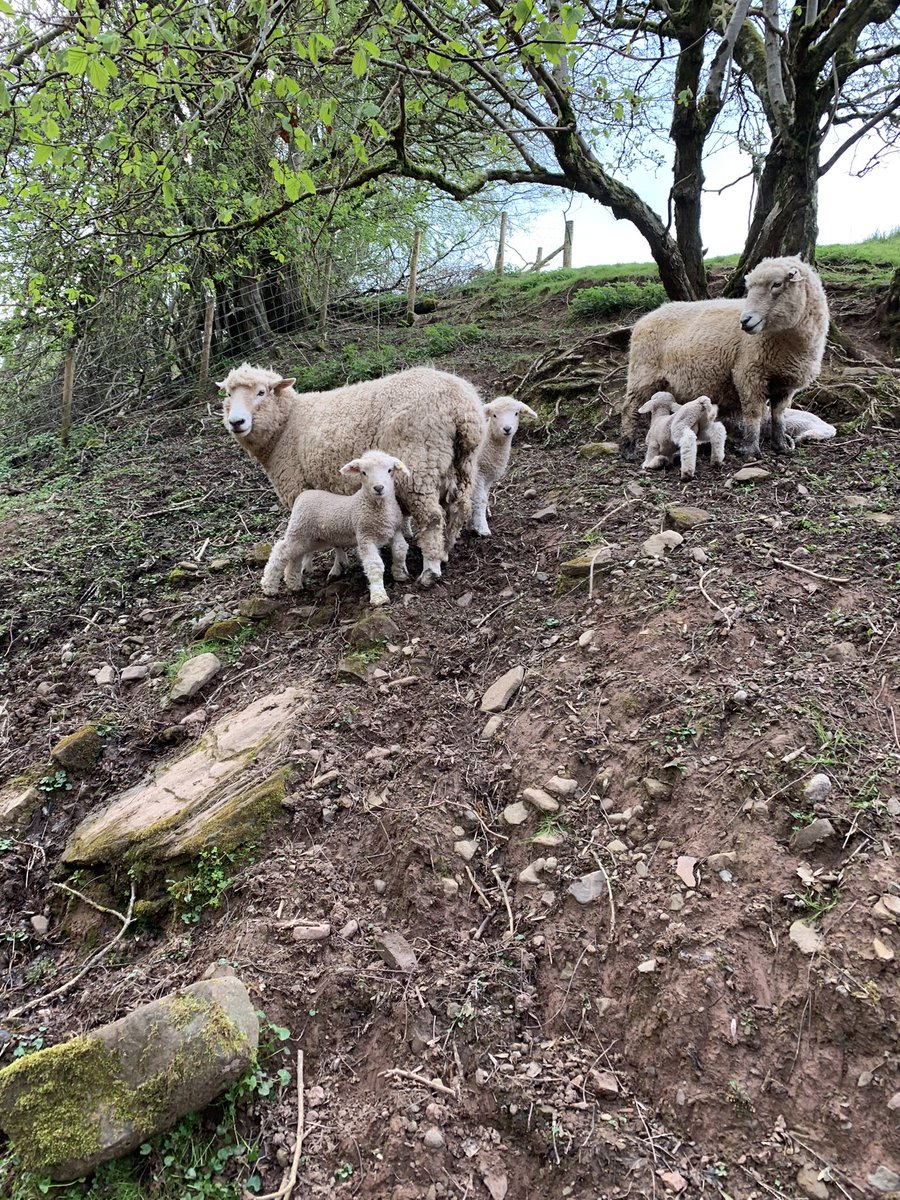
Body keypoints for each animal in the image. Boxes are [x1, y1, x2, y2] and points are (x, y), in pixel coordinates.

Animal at [219, 364, 487, 587]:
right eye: (229, 395)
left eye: (261, 392)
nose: (236, 422)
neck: (286, 424)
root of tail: (461, 407)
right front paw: (338, 564)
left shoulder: (299, 489)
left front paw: (306, 565)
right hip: (462, 465)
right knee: (458, 508)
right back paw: (445, 551)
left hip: (419, 465)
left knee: (432, 517)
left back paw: (430, 569)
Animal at [261, 450, 410, 607]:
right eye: (363, 472)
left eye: (390, 470)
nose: (379, 488)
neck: (377, 506)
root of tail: (302, 495)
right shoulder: (365, 536)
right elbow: (374, 565)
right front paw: (379, 597)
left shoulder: (395, 530)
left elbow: (400, 549)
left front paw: (400, 574)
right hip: (299, 529)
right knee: (280, 551)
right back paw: (269, 587)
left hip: (311, 538)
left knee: (296, 555)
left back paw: (293, 583)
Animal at [469, 395, 539, 536]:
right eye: (494, 415)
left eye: (516, 413)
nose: (507, 429)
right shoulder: (478, 474)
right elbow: (480, 499)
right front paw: (482, 528)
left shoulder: (487, 477)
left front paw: (471, 523)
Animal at [620, 256, 829, 461]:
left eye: (777, 284)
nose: (745, 321)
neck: (786, 342)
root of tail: (645, 318)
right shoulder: (748, 373)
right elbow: (754, 413)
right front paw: (751, 450)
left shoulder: (785, 384)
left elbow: (779, 415)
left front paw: (781, 446)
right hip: (643, 373)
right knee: (630, 408)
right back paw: (628, 447)